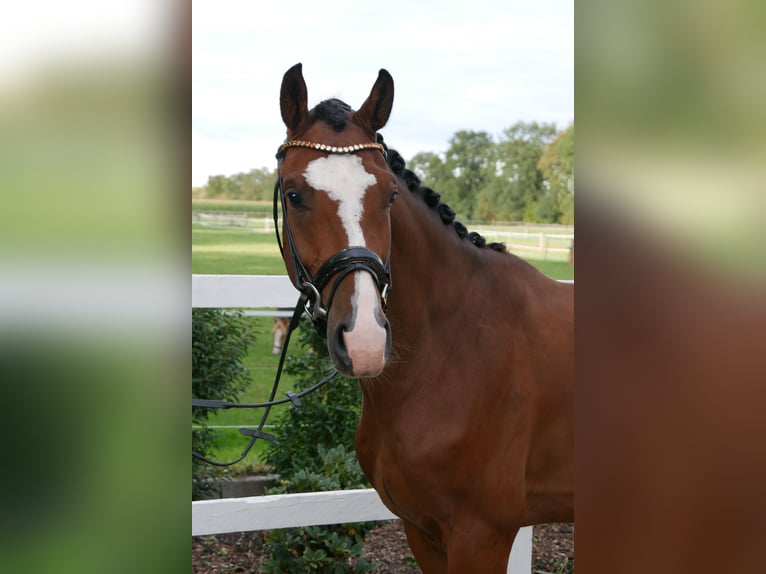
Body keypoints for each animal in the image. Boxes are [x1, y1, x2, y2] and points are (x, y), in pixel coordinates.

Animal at [276, 64, 576, 574]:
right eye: (294, 194)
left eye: (390, 195)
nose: (364, 339)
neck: (450, 350)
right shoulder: (421, 530)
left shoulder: (481, 536)